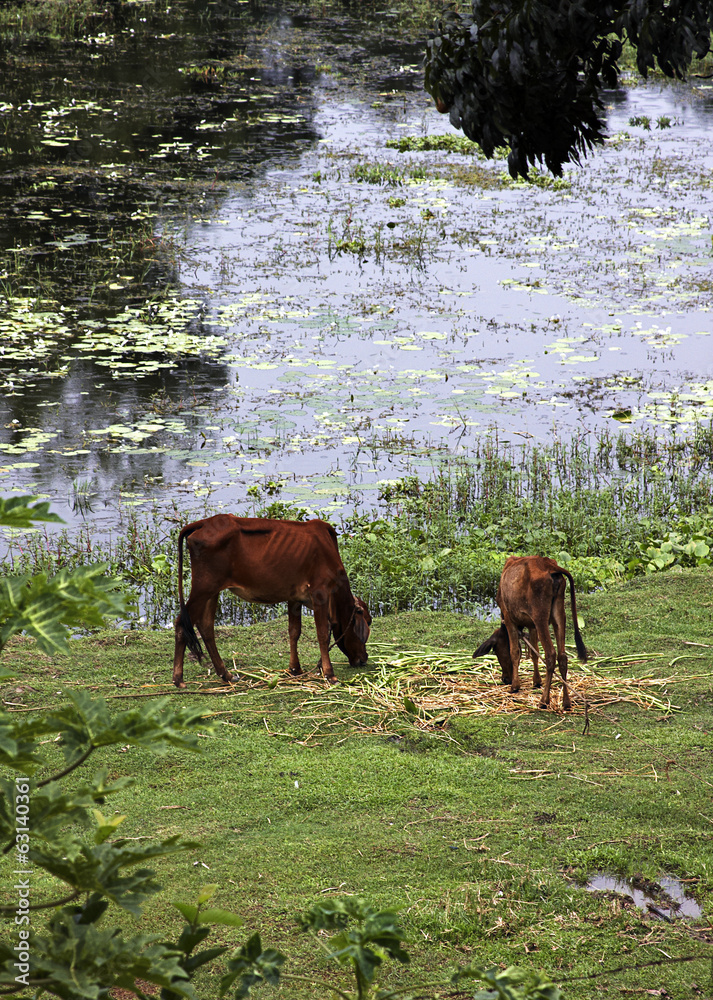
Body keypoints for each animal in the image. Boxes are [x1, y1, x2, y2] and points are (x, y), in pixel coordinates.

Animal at [172, 515, 371, 689]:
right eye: (368, 622)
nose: (364, 658)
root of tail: (204, 523)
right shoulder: (319, 592)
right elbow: (322, 634)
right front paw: (329, 674)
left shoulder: (294, 597)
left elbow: (294, 631)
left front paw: (295, 668)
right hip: (204, 588)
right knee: (181, 623)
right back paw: (178, 679)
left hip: (212, 591)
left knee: (206, 627)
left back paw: (226, 674)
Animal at [472, 556, 588, 710]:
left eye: (496, 651)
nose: (505, 679)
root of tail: (550, 566)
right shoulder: (531, 625)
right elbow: (534, 653)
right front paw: (536, 681)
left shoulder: (509, 619)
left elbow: (515, 652)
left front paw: (515, 686)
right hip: (558, 614)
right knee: (562, 656)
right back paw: (566, 702)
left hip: (541, 617)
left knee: (551, 655)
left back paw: (544, 701)